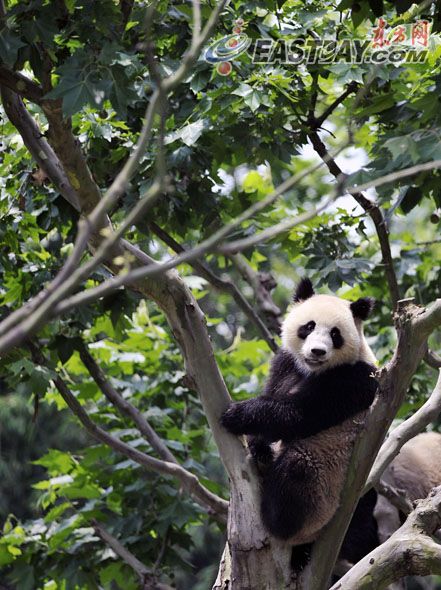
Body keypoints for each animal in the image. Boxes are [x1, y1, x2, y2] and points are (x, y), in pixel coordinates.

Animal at [222, 278, 376, 556]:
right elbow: (276, 392)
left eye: (335, 334)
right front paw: (259, 447)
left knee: (297, 470)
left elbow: (301, 414)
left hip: (323, 487)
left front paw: (237, 414)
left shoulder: (357, 379)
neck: (313, 370)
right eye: (309, 326)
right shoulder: (286, 363)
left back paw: (275, 519)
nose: (317, 351)